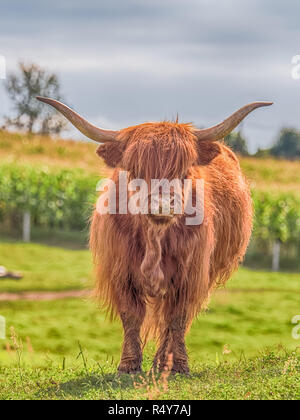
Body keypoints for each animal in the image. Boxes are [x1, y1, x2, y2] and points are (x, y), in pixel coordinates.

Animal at [37, 97, 272, 374]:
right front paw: (128, 364)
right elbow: (131, 315)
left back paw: (163, 362)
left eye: (183, 172)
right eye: (135, 171)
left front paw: (178, 365)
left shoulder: (190, 274)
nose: (161, 204)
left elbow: (178, 318)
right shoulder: (121, 271)